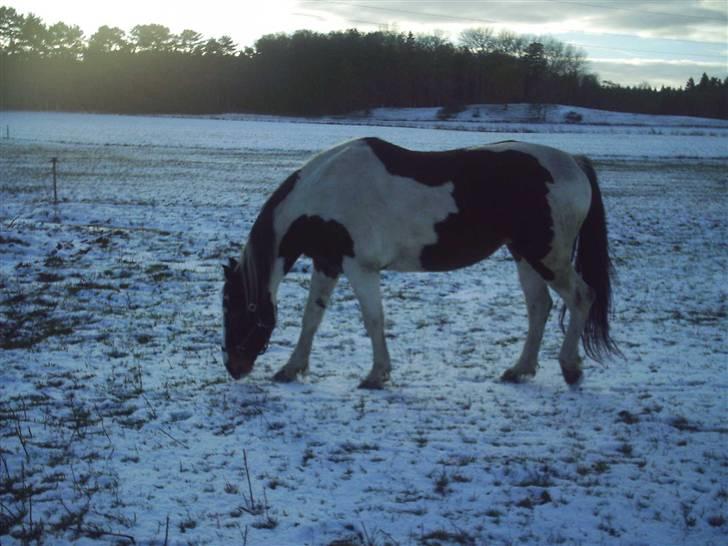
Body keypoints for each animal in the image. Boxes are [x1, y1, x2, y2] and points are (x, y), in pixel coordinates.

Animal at [223, 138, 620, 388]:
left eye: (235, 308)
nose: (233, 368)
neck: (325, 191)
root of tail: (573, 162)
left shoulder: (359, 268)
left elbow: (373, 319)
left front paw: (377, 376)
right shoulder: (327, 263)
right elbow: (312, 318)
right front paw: (291, 369)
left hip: (547, 256)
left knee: (582, 297)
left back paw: (570, 369)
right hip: (524, 255)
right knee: (539, 307)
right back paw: (519, 370)